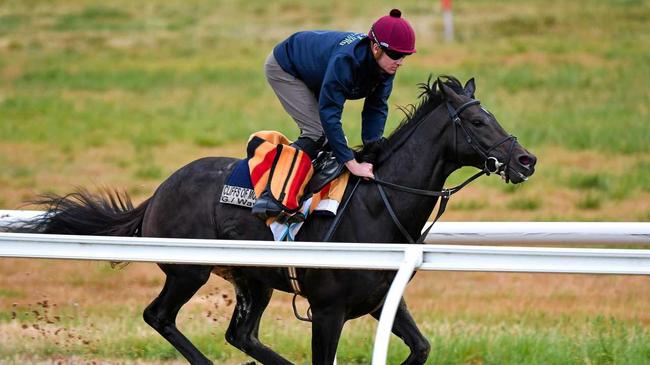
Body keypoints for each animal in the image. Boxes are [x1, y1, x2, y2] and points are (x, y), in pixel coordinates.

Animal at [20, 77, 536, 364]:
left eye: (490, 115)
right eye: (478, 122)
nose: (526, 160)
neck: (377, 203)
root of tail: (159, 192)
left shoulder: (380, 299)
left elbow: (422, 347)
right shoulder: (327, 310)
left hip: (253, 279)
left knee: (240, 334)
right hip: (189, 270)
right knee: (159, 315)